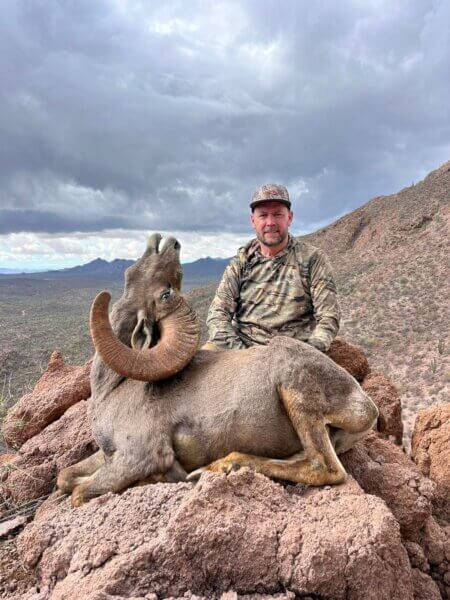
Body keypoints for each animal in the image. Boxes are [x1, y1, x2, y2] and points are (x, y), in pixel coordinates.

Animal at [57, 234, 378, 506]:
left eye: (166, 294)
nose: (168, 241)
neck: (112, 391)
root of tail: (366, 407)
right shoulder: (108, 456)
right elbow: (64, 477)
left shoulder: (137, 456)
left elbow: (79, 493)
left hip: (296, 391)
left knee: (323, 467)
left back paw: (220, 466)